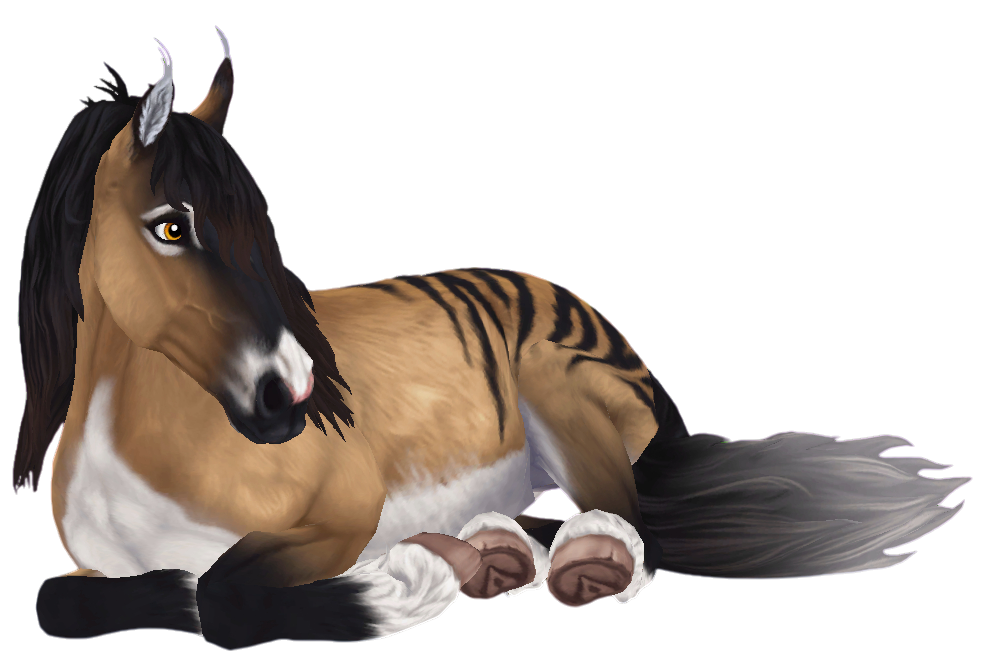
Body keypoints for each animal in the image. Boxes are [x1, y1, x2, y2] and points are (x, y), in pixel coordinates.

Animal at [16, 27, 971, 649]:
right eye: (171, 227)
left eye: (255, 228)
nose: (291, 395)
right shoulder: (90, 572)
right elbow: (66, 602)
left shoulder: (341, 517)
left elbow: (221, 597)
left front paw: (401, 587)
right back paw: (490, 552)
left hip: (561, 396)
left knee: (630, 526)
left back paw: (554, 562)